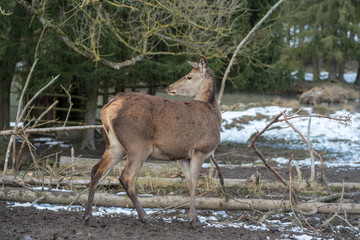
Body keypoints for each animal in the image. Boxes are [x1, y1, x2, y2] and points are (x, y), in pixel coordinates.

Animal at [85, 55, 222, 228]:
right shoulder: (200, 149)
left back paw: (88, 217)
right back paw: (144, 216)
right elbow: (196, 182)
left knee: (96, 170)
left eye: (189, 76)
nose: (169, 87)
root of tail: (107, 108)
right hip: (137, 145)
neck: (214, 112)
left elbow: (189, 183)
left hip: (114, 145)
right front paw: (194, 220)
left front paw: (193, 218)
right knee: (127, 177)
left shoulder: (184, 155)